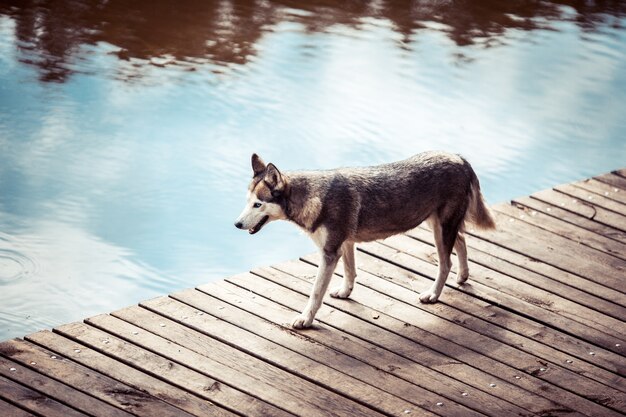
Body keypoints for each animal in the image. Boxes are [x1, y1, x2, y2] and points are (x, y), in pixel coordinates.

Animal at [232, 150, 494, 328]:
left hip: (440, 228)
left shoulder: (329, 253)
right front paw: (345, 292)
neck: (313, 197)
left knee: (445, 262)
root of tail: (459, 157)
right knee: (462, 240)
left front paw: (305, 319)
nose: (236, 224)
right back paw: (463, 276)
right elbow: (350, 272)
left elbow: (315, 293)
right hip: (436, 224)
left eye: (258, 204)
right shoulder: (345, 244)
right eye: (247, 202)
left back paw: (433, 294)